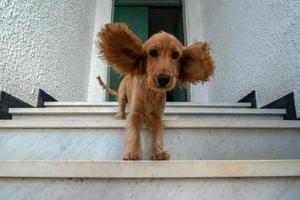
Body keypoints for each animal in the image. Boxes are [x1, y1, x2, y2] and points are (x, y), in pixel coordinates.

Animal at [97, 23, 214, 161]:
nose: (163, 79)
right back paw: (120, 116)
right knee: (121, 106)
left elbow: (157, 133)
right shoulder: (135, 113)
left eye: (175, 55)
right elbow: (133, 132)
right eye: (152, 52)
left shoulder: (157, 116)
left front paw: (158, 153)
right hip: (122, 95)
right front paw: (132, 152)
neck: (152, 92)